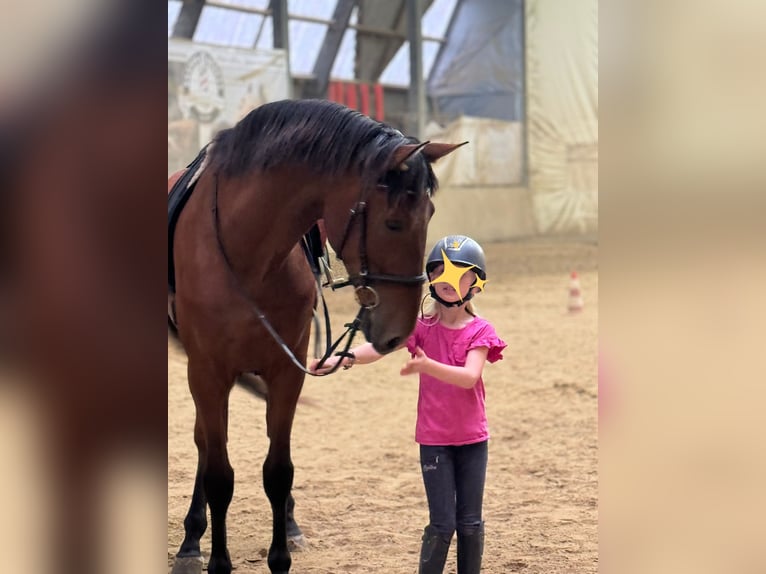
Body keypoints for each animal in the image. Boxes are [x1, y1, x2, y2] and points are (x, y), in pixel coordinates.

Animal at [169, 100, 468, 574]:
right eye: (394, 223)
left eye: (431, 216)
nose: (399, 331)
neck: (248, 252)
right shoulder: (207, 374)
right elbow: (218, 474)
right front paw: (215, 558)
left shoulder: (286, 372)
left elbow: (278, 471)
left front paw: (281, 556)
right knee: (205, 445)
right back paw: (191, 542)